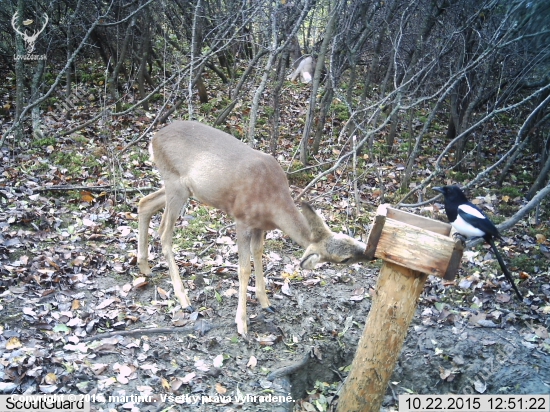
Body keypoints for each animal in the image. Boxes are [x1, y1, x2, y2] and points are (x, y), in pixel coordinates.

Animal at [137, 120, 368, 336]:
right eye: (344, 259)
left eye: (351, 240)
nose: (369, 254)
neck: (272, 201)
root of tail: (154, 138)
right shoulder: (242, 219)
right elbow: (244, 268)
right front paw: (242, 322)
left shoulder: (260, 226)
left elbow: (258, 255)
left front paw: (266, 303)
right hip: (175, 183)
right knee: (164, 233)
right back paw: (184, 299)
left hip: (180, 187)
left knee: (144, 203)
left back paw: (145, 268)